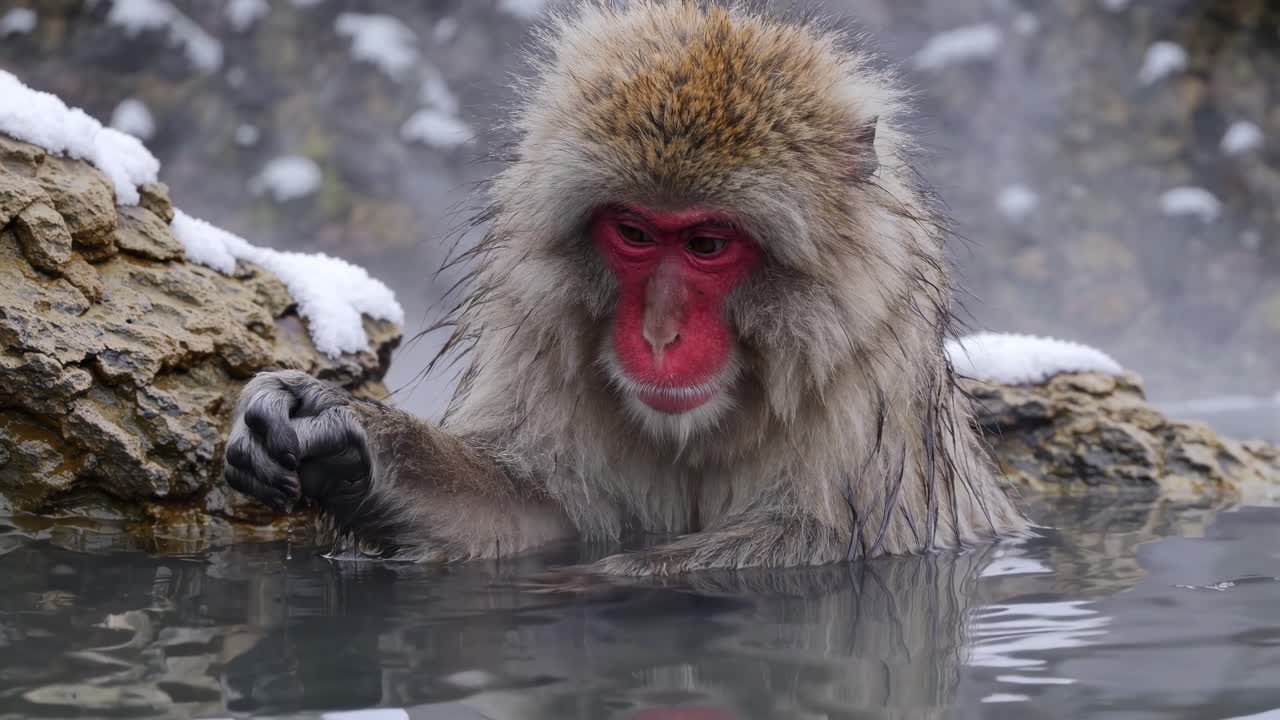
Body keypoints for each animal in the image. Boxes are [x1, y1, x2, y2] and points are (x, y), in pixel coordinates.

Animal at [222, 0, 1030, 576]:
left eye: (707, 244)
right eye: (636, 233)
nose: (659, 333)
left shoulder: (867, 397)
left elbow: (826, 544)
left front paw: (605, 579)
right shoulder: (547, 354)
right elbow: (533, 512)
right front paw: (338, 431)